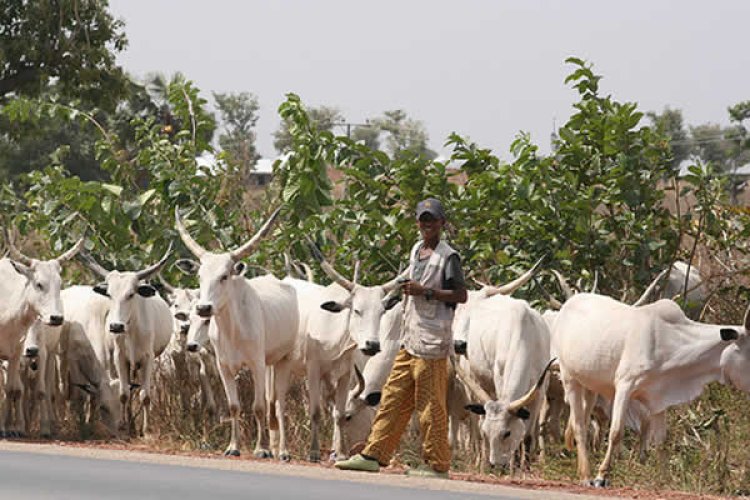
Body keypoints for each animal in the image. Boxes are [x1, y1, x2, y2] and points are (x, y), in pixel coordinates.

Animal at [0, 236, 83, 436]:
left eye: (60, 284)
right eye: (39, 284)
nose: (56, 318)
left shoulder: (18, 353)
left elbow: (14, 390)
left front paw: (15, 428)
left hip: (50, 355)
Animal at [80, 248, 173, 436]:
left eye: (131, 294)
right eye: (109, 294)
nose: (116, 326)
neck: (132, 330)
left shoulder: (148, 359)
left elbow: (145, 395)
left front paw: (146, 430)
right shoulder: (120, 357)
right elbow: (123, 394)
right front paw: (124, 425)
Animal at [177, 205, 302, 458]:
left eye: (224, 276)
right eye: (199, 276)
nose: (204, 308)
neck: (232, 329)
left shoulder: (256, 364)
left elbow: (258, 407)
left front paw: (261, 449)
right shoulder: (223, 366)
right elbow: (234, 406)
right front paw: (233, 447)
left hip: (283, 360)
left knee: (278, 404)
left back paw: (282, 451)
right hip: (270, 362)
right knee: (272, 401)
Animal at [556, 294, 748, 486]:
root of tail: (569, 302)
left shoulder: (659, 400)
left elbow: (661, 441)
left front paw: (665, 479)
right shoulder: (625, 385)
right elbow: (616, 432)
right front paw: (601, 476)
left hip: (590, 387)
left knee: (583, 420)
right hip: (569, 378)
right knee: (580, 426)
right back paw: (586, 475)